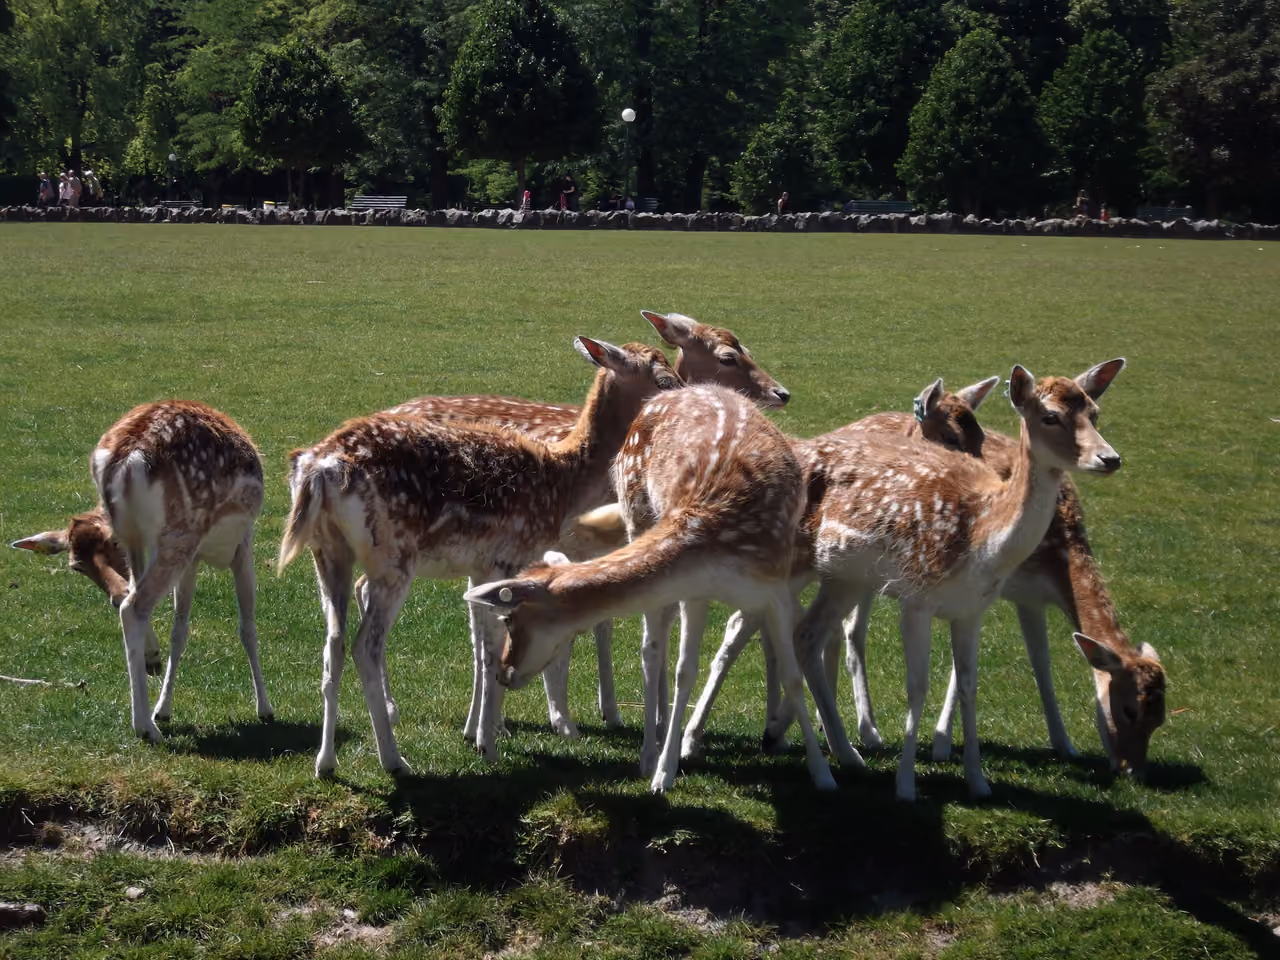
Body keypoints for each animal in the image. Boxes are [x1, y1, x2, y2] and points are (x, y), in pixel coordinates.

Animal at [12, 401, 274, 742]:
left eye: (77, 567)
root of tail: (124, 459)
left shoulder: (188, 561)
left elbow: (180, 629)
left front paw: (162, 699)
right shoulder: (242, 544)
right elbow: (248, 627)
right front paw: (265, 708)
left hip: (142, 538)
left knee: (131, 596)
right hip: (181, 531)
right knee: (133, 605)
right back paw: (145, 727)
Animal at [276, 338, 682, 777]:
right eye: (664, 379)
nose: (687, 398)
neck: (563, 482)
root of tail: (319, 469)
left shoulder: (480, 568)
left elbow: (481, 645)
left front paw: (477, 733)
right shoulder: (508, 556)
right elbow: (493, 648)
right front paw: (489, 743)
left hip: (327, 551)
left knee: (333, 642)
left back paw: (326, 762)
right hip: (393, 557)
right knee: (365, 644)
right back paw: (394, 760)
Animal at [360, 310, 790, 743]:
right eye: (727, 358)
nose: (782, 393)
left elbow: (599, 620)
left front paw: (608, 712)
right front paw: (563, 720)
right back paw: (397, 709)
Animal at [465, 385, 840, 794]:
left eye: (511, 620)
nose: (504, 672)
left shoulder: (774, 587)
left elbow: (792, 675)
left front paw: (823, 773)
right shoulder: (696, 589)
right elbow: (684, 671)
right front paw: (664, 773)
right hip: (636, 513)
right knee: (651, 650)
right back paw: (650, 753)